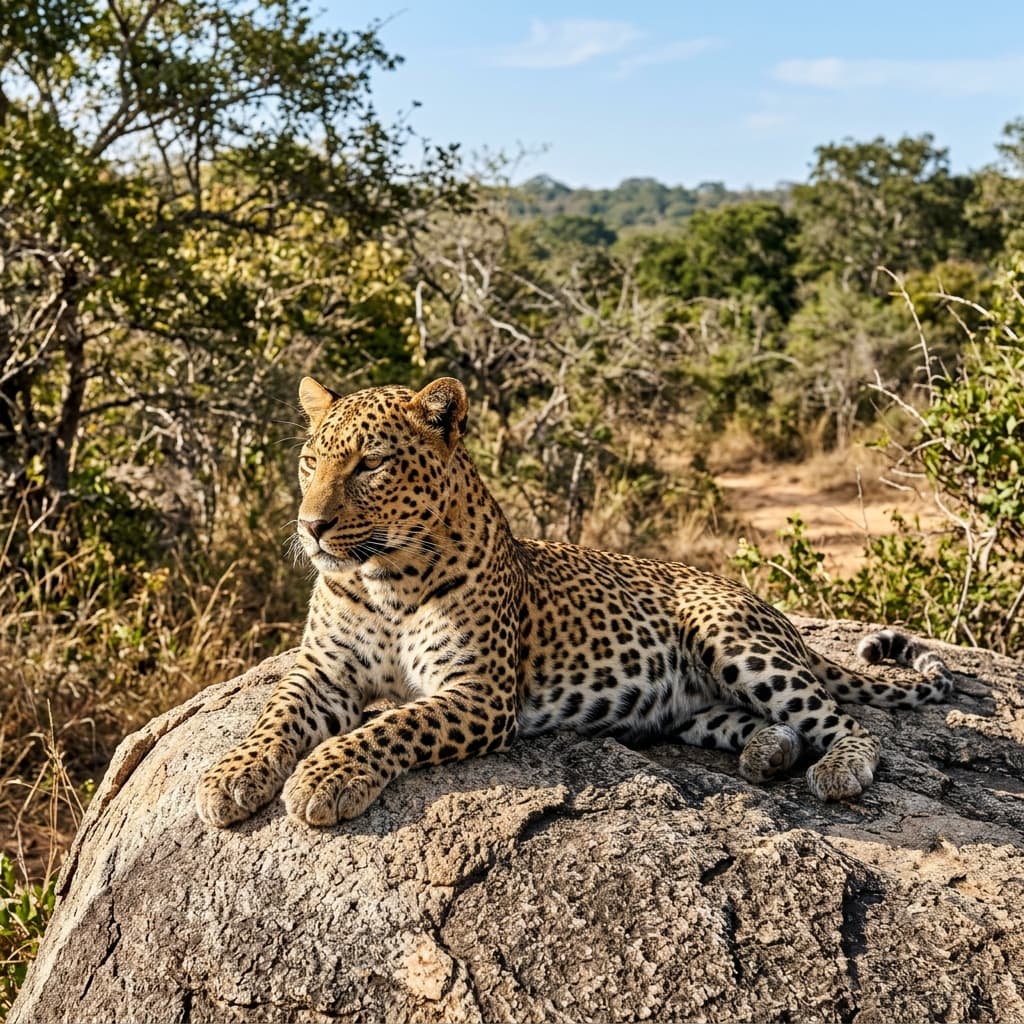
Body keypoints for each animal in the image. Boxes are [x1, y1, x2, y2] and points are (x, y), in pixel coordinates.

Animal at [196, 376, 955, 828]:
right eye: (309, 461)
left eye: (371, 464)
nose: (311, 526)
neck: (381, 578)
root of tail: (773, 613)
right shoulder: (322, 670)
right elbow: (273, 717)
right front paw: (231, 775)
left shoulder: (477, 691)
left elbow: (393, 725)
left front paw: (326, 776)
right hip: (695, 710)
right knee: (773, 724)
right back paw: (766, 753)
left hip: (732, 640)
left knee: (847, 724)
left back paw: (839, 771)